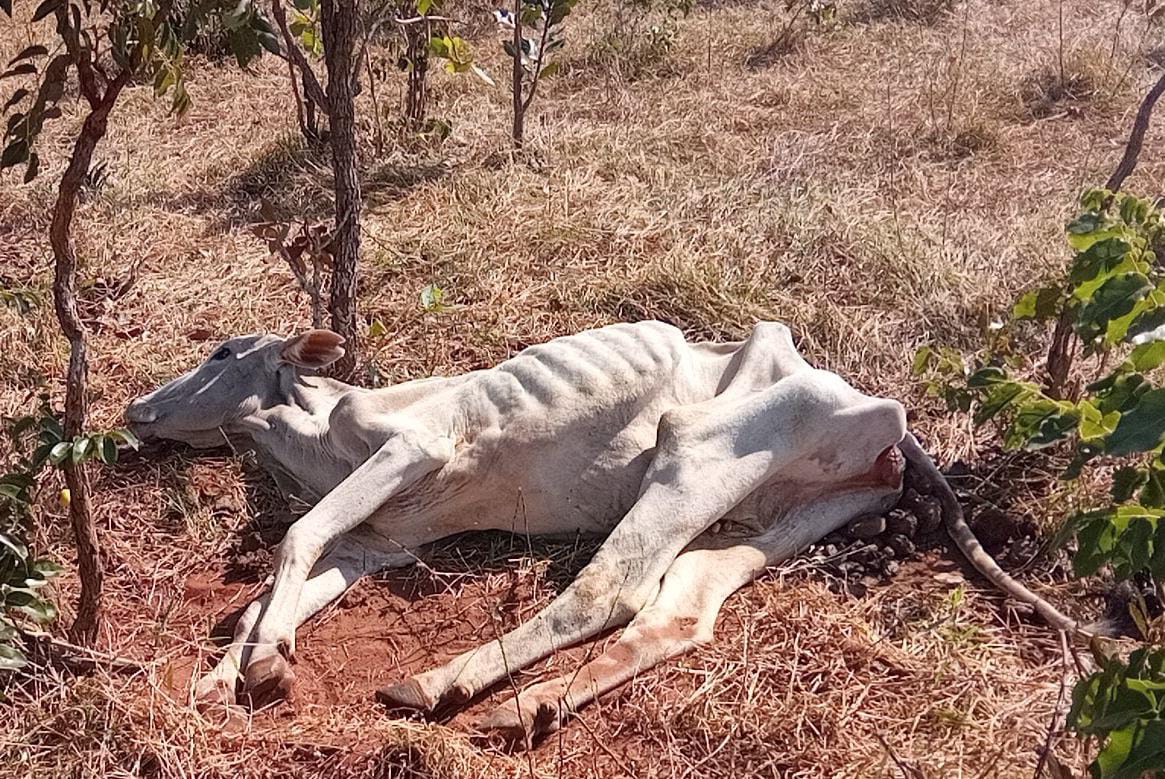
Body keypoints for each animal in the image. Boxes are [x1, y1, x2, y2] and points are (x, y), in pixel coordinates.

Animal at [122, 321, 1076, 740]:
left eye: (220, 354)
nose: (135, 408)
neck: (314, 430)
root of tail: (876, 409)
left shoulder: (410, 445)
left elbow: (295, 536)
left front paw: (266, 665)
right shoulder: (378, 542)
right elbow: (269, 588)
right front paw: (228, 672)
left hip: (696, 445)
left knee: (608, 589)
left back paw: (445, 683)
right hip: (771, 512)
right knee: (681, 607)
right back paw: (532, 702)